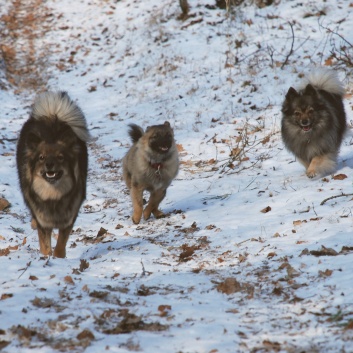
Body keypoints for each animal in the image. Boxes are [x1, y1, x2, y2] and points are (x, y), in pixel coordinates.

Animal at [17, 91, 90, 256]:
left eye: (60, 157)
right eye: (41, 157)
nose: (49, 165)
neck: (53, 196)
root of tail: (52, 115)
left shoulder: (69, 218)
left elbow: (60, 245)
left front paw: (58, 258)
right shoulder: (43, 222)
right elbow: (45, 246)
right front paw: (46, 258)